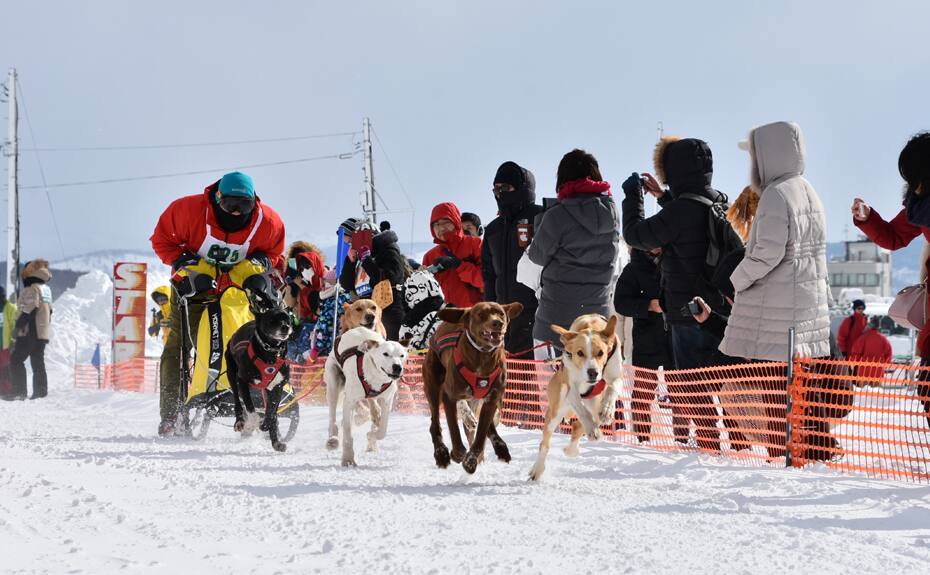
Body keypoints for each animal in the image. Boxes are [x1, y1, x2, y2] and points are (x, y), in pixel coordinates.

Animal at [225, 297, 294, 452]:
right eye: (272, 320)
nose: (285, 327)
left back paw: (276, 442)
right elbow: (251, 409)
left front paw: (268, 426)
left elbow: (272, 412)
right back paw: (240, 422)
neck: (271, 354)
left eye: (288, 319)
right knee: (237, 401)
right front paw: (252, 424)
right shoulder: (242, 381)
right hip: (232, 375)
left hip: (266, 389)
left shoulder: (277, 387)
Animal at [323, 326, 409, 466]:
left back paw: (374, 418)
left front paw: (372, 434)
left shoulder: (387, 400)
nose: (397, 367)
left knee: (372, 406)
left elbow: (382, 430)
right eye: (385, 354)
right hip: (333, 383)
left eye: (402, 355)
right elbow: (347, 432)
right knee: (332, 417)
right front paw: (348, 458)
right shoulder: (349, 401)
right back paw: (333, 440)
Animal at [423, 301, 522, 474]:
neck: (483, 356)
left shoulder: (491, 399)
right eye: (481, 315)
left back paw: (500, 447)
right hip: (433, 388)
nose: (498, 323)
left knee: (486, 427)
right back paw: (441, 454)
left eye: (501, 313)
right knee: (434, 423)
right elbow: (454, 428)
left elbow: (481, 433)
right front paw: (458, 453)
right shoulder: (449, 397)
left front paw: (471, 460)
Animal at [529, 314, 621, 481]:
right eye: (579, 353)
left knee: (580, 425)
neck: (591, 326)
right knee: (545, 443)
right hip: (555, 410)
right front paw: (593, 429)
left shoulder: (616, 375)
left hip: (593, 404)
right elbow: (582, 411)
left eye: (601, 353)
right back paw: (538, 469)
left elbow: (613, 387)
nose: (593, 373)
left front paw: (607, 409)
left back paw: (573, 448)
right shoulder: (570, 389)